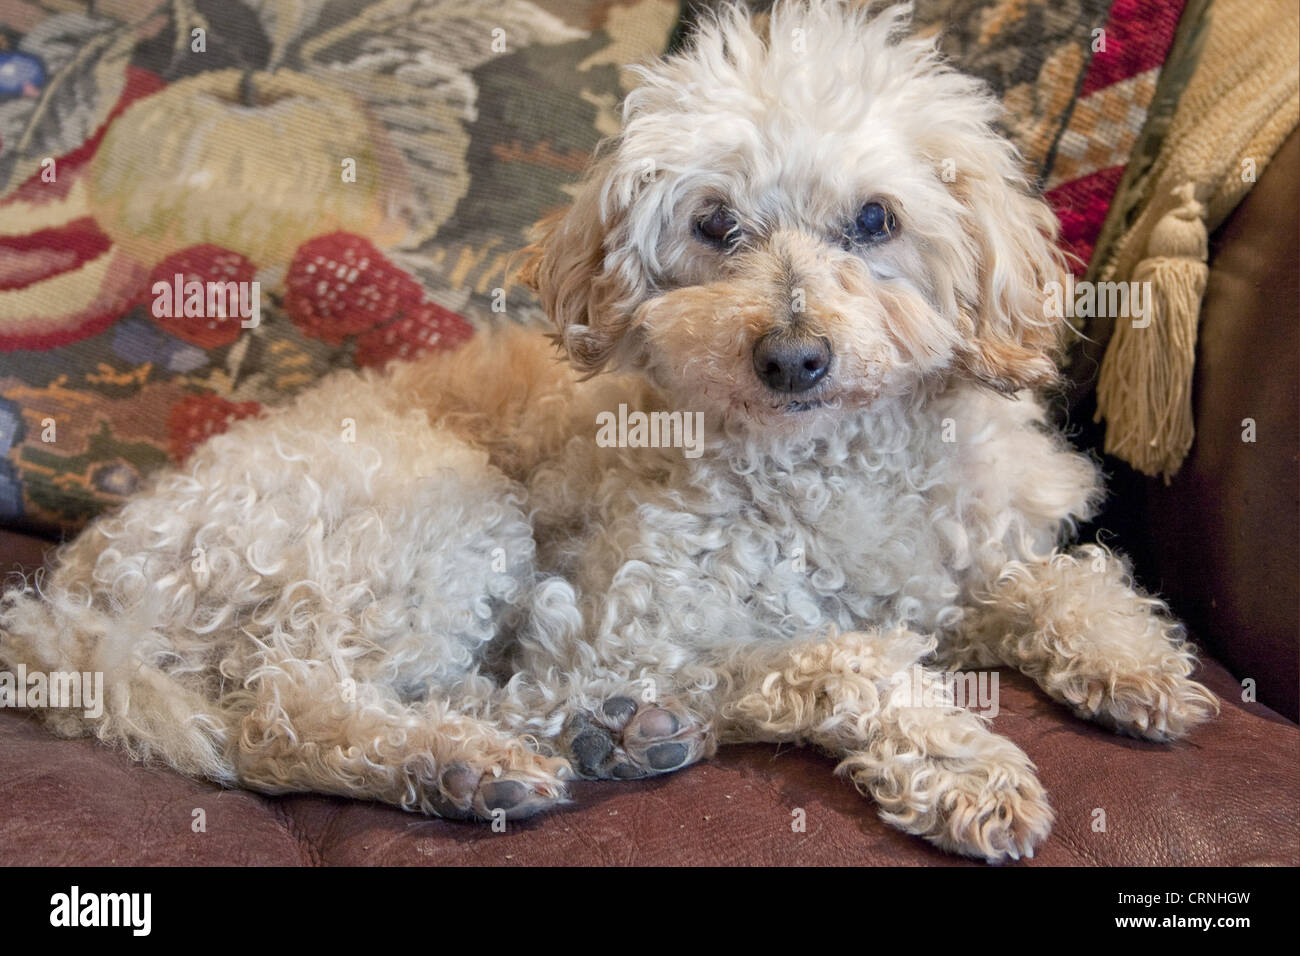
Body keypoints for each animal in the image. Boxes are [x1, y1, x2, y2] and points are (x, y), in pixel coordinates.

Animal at [0, 0, 1216, 863]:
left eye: (875, 220)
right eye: (716, 225)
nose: (793, 357)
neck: (830, 464)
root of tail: (81, 588)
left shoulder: (958, 566)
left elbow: (1059, 581)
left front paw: (1135, 662)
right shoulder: (625, 623)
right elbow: (844, 656)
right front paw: (969, 761)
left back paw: (597, 733)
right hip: (439, 512)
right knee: (287, 712)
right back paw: (479, 759)